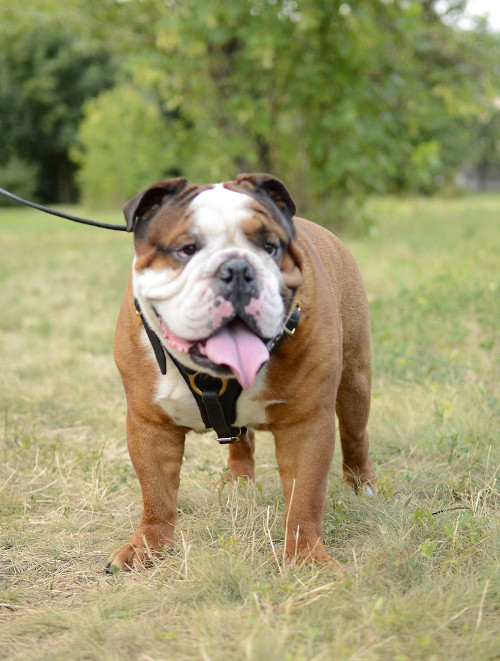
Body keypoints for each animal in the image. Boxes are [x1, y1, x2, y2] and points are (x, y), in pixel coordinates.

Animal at [107, 173, 376, 568]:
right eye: (186, 249)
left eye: (270, 247)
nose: (236, 269)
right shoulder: (149, 425)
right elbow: (155, 491)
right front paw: (148, 547)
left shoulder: (308, 424)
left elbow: (304, 498)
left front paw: (306, 558)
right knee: (240, 439)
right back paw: (238, 480)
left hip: (356, 380)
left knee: (355, 435)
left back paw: (362, 484)